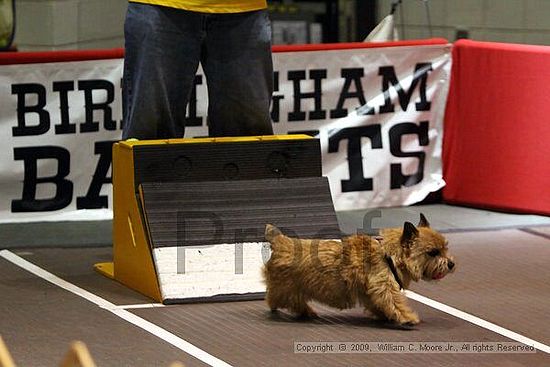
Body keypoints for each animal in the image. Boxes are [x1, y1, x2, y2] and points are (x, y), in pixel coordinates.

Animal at [264, 214, 458, 326]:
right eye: (433, 252)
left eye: (445, 248)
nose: (451, 264)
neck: (389, 255)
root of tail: (281, 241)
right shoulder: (384, 287)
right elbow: (395, 302)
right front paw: (407, 317)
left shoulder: (371, 292)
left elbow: (380, 304)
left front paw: (384, 315)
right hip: (289, 288)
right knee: (283, 299)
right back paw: (305, 310)